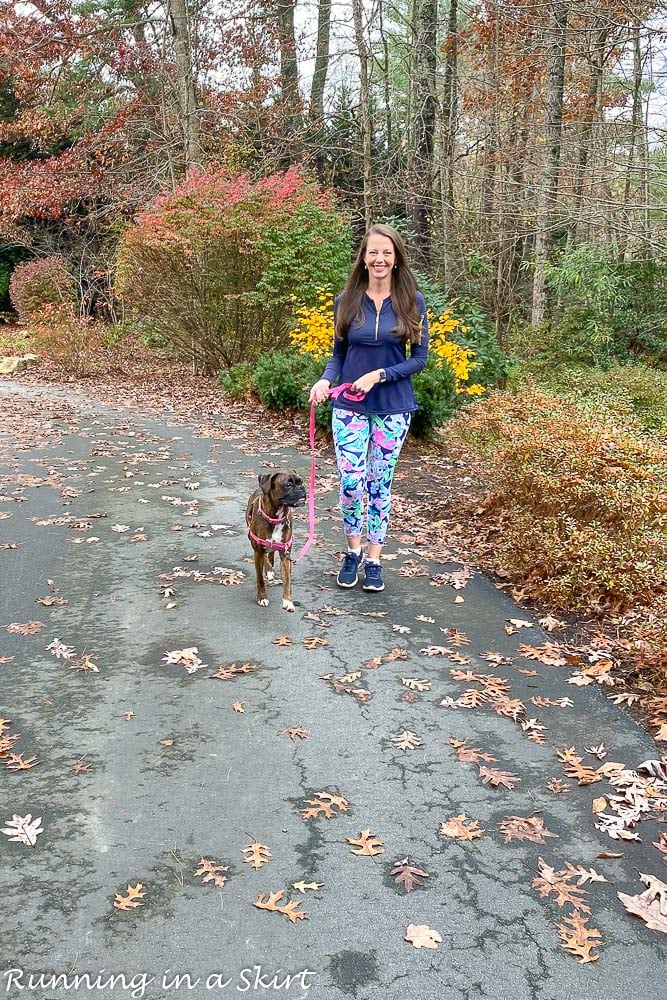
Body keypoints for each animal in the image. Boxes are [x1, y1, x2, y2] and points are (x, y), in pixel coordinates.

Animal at [247, 472, 306, 612]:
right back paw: (268, 569)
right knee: (266, 557)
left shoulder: (285, 555)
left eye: (301, 482)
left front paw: (288, 601)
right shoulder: (257, 552)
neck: (276, 517)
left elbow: (287, 580)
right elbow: (260, 579)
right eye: (288, 484)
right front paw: (262, 597)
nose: (302, 488)